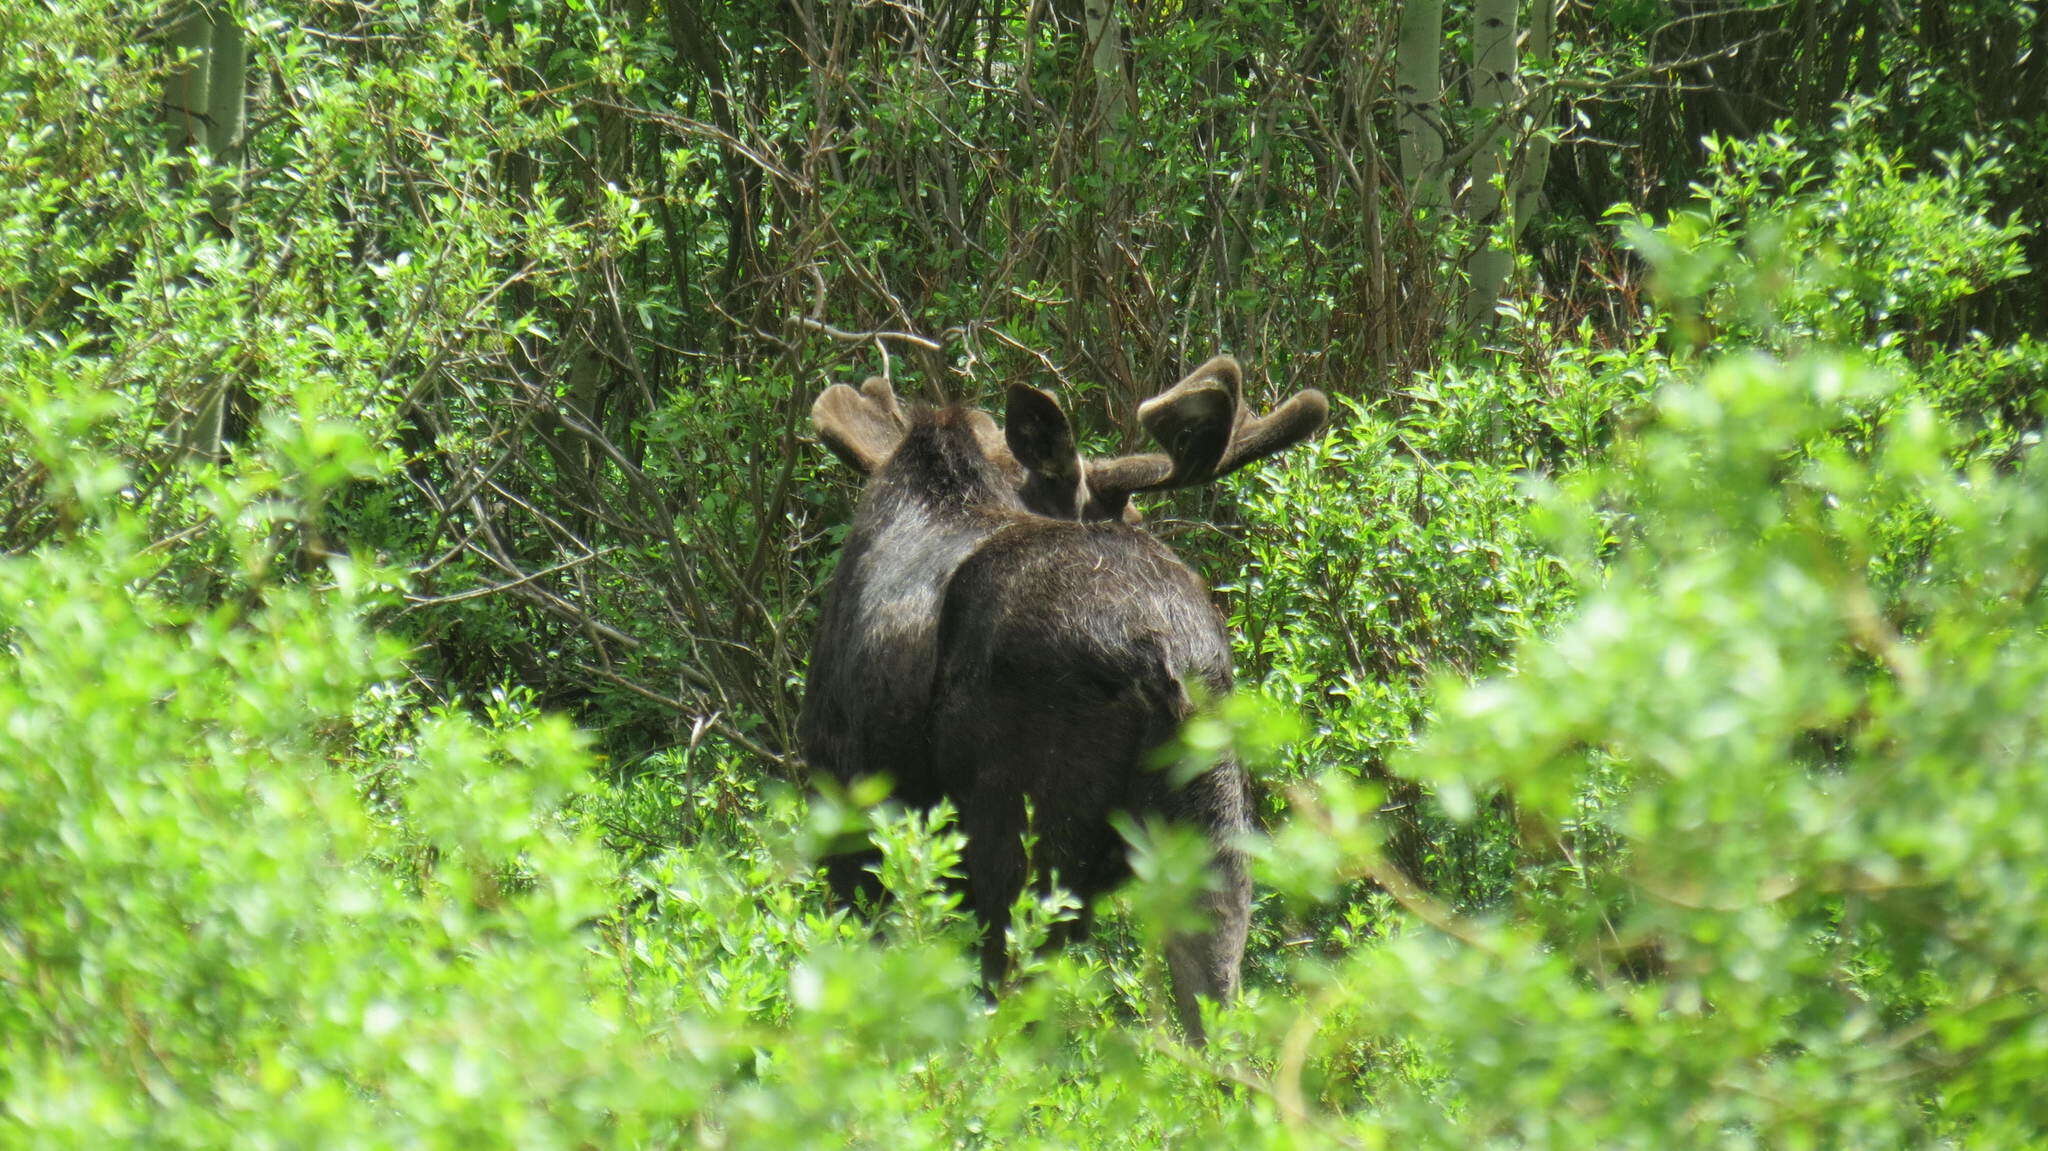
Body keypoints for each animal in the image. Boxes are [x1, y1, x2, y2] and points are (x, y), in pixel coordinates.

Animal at [798, 354, 1327, 1036]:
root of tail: (1160, 651)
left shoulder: (847, 813)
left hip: (1023, 827)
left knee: (1013, 989)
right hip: (1209, 828)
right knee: (1215, 991)